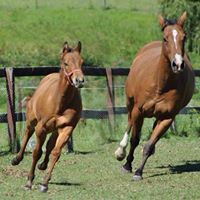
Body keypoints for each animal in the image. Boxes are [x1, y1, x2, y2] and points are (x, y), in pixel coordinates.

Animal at [10, 41, 84, 192]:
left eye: (82, 62)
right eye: (66, 63)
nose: (79, 80)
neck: (60, 102)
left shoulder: (67, 128)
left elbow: (56, 152)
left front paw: (44, 183)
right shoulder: (41, 128)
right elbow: (36, 152)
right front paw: (29, 181)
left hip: (55, 129)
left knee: (50, 145)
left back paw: (43, 165)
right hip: (31, 121)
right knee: (27, 134)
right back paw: (17, 158)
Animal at [115, 12, 195, 181]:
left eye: (184, 37)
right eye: (165, 38)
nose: (178, 64)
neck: (160, 85)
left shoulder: (167, 118)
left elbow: (149, 144)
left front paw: (139, 172)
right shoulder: (138, 111)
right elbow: (135, 139)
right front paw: (127, 165)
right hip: (130, 103)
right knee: (129, 123)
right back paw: (120, 151)